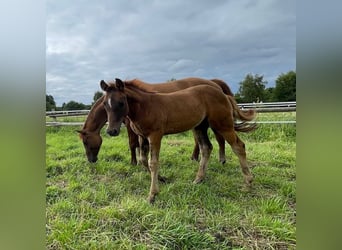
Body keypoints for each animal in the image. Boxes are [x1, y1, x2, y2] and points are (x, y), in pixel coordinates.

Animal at [100, 78, 255, 203]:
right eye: (105, 105)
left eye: (121, 103)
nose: (111, 131)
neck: (145, 107)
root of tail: (224, 95)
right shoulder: (142, 136)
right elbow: (143, 160)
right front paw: (162, 179)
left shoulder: (155, 135)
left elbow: (153, 162)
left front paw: (152, 195)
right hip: (200, 127)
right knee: (206, 148)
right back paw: (198, 179)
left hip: (223, 124)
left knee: (238, 146)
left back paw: (248, 181)